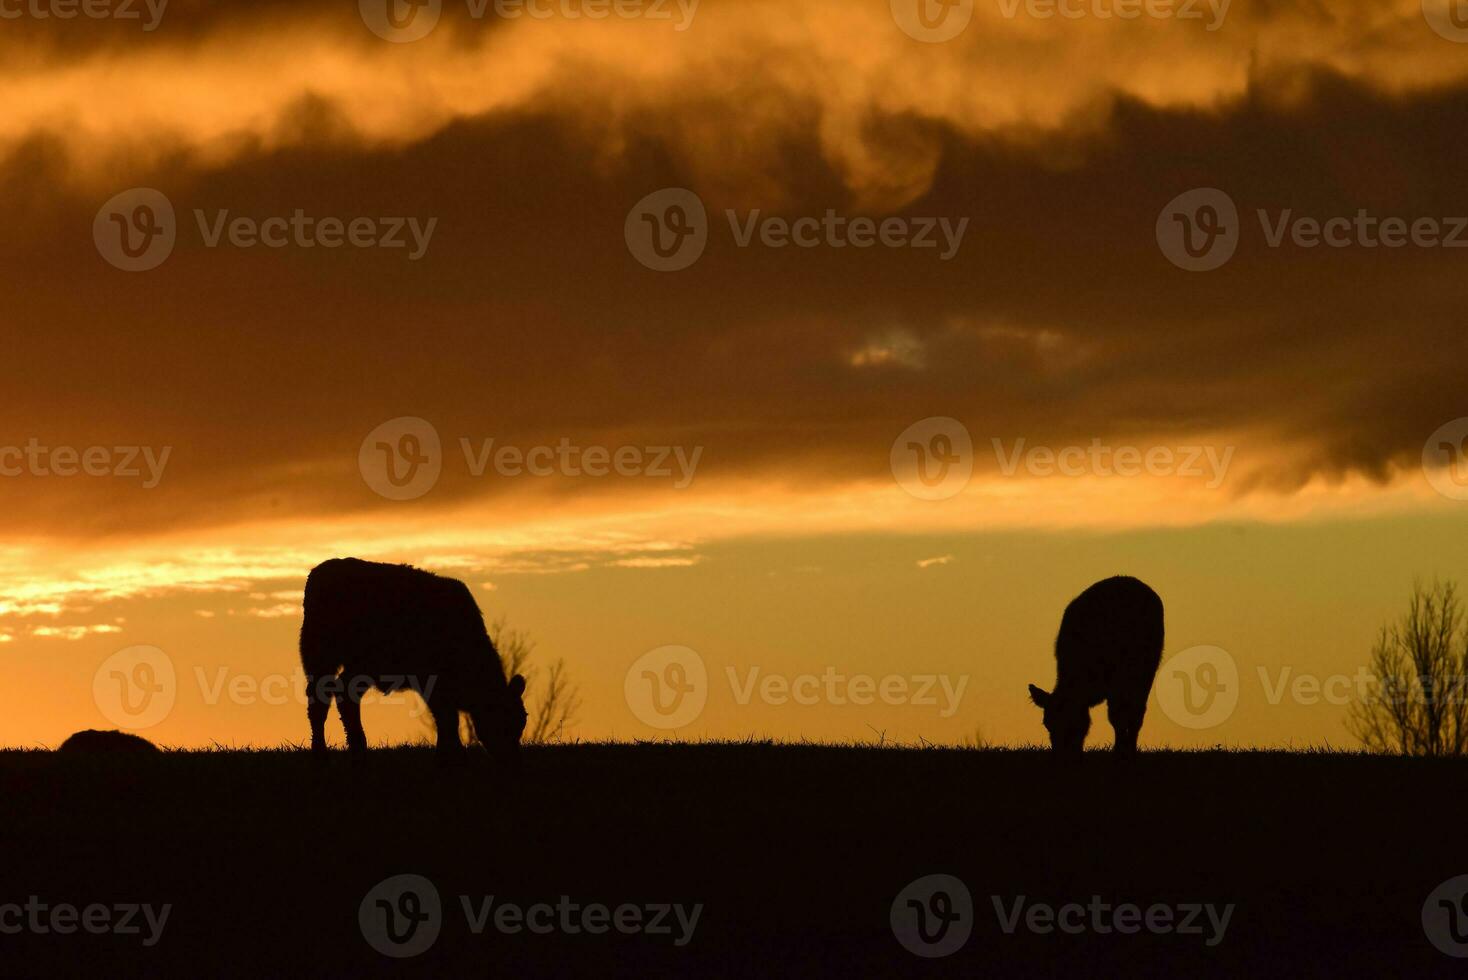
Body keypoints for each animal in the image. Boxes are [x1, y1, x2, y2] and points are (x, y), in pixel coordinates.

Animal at [299, 557, 528, 762]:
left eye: (522, 721)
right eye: (503, 719)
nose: (513, 758)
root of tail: (319, 572)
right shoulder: (434, 684)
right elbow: (446, 719)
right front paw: (449, 756)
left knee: (337, 695)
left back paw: (353, 749)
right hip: (328, 657)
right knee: (325, 698)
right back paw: (327, 751)